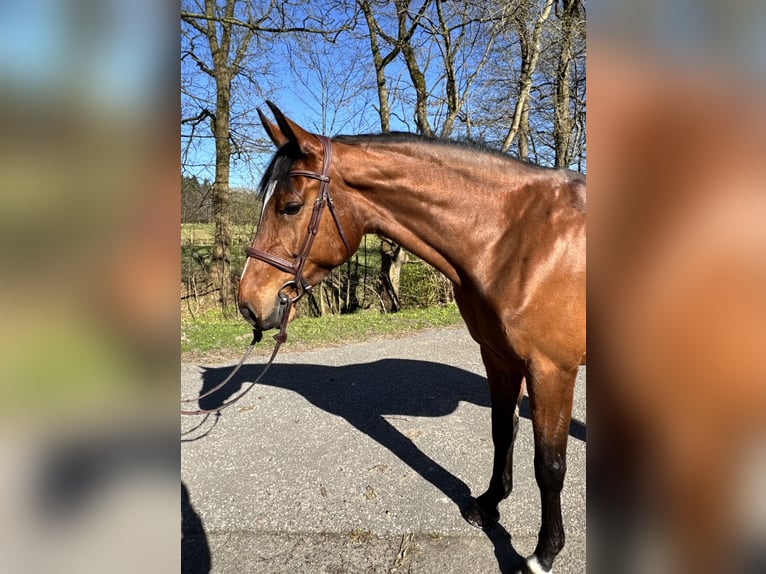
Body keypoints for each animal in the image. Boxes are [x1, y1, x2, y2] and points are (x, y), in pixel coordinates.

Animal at [237, 102, 586, 574]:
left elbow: (549, 464)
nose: (247, 303)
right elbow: (503, 431)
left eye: (291, 207)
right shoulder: (498, 358)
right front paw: (489, 504)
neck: (516, 237)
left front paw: (543, 553)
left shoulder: (552, 370)